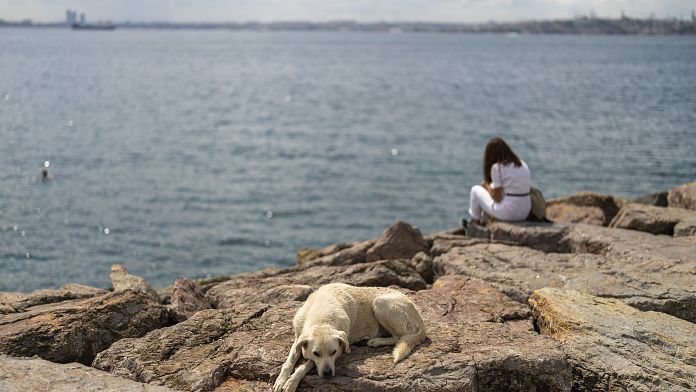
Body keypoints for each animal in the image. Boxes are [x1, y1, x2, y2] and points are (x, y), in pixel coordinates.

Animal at [272, 282, 424, 392]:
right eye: (316, 353)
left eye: (333, 352)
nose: (327, 373)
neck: (321, 317)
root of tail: (420, 318)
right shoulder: (298, 338)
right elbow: (288, 363)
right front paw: (280, 380)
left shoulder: (339, 349)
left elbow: (305, 365)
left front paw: (291, 382)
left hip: (381, 303)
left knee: (399, 337)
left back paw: (375, 341)